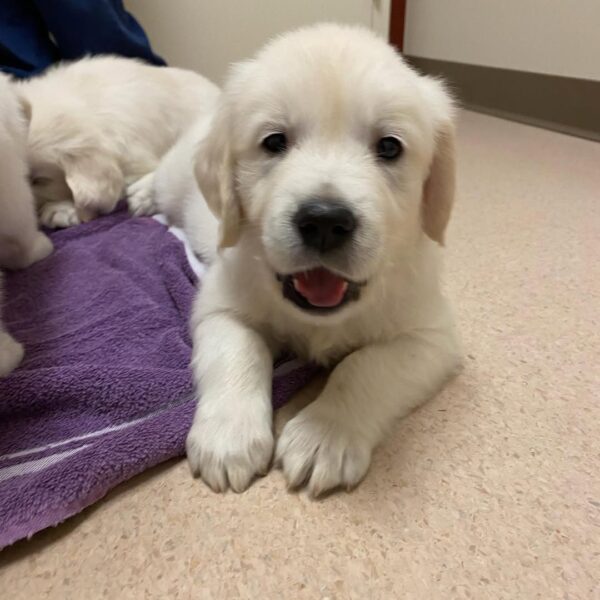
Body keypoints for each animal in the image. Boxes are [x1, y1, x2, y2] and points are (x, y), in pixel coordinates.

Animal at [152, 23, 462, 494]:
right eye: (274, 142)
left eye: (390, 147)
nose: (325, 221)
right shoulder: (220, 305)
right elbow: (238, 352)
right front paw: (229, 439)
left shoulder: (431, 336)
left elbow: (365, 367)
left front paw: (325, 437)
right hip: (174, 179)